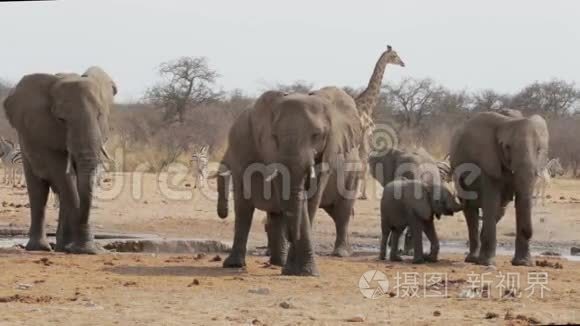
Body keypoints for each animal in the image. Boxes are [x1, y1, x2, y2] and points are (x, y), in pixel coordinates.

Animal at [2, 67, 117, 255]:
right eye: (61, 120)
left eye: (99, 115)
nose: (91, 249)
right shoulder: (42, 133)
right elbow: (63, 177)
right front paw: (83, 249)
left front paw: (80, 249)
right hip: (26, 144)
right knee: (39, 190)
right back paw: (41, 248)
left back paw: (62, 247)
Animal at [218, 86, 362, 276]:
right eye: (274, 136)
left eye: (317, 135)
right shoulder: (271, 152)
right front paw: (298, 271)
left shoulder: (329, 152)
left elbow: (310, 201)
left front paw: (302, 272)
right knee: (245, 210)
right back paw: (238, 264)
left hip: (354, 173)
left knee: (342, 211)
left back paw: (338, 253)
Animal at [356, 45, 406, 200]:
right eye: (394, 55)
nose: (403, 63)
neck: (368, 106)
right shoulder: (366, 136)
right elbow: (364, 165)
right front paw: (363, 195)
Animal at [450, 111, 552, 264]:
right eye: (507, 147)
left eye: (539, 149)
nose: (528, 232)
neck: (509, 121)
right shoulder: (487, 162)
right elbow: (491, 201)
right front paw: (487, 263)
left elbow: (520, 199)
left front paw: (523, 263)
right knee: (471, 210)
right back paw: (473, 259)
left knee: (499, 210)